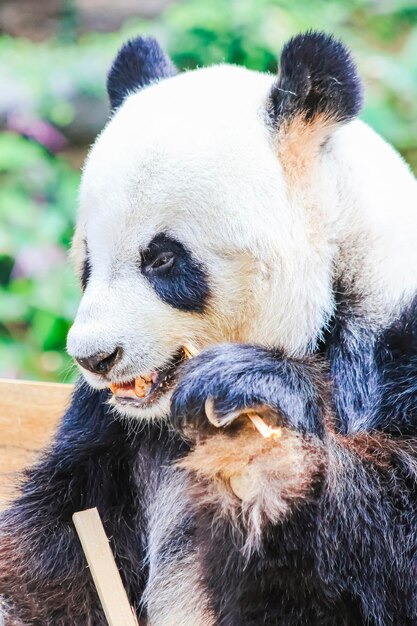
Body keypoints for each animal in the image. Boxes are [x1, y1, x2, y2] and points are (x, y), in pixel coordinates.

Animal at [0, 30, 416, 624]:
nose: (93, 358)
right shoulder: (109, 434)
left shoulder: (394, 342)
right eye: (87, 262)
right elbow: (57, 542)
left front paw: (264, 443)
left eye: (162, 259)